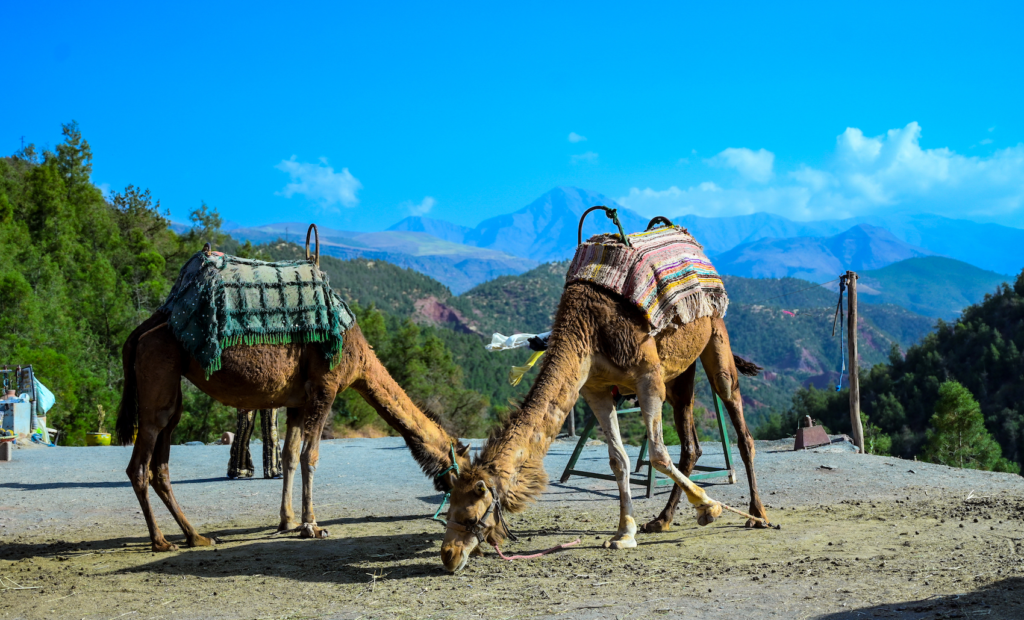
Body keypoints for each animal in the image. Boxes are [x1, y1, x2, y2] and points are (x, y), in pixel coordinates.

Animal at [116, 286, 470, 552]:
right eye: (465, 465)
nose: (456, 487)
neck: (361, 361)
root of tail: (139, 332)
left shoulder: (298, 401)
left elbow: (288, 455)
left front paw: (287, 520)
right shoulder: (324, 388)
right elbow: (309, 456)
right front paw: (312, 525)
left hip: (170, 385)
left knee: (162, 460)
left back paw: (196, 536)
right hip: (158, 371)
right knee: (140, 463)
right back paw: (161, 542)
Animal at [439, 280, 769, 572]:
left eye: (471, 516)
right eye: (447, 507)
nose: (448, 555)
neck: (586, 330)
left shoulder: (648, 377)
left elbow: (659, 455)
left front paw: (711, 507)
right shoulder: (594, 388)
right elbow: (618, 460)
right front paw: (624, 534)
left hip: (716, 342)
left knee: (740, 429)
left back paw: (757, 515)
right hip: (680, 371)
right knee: (690, 446)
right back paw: (661, 521)